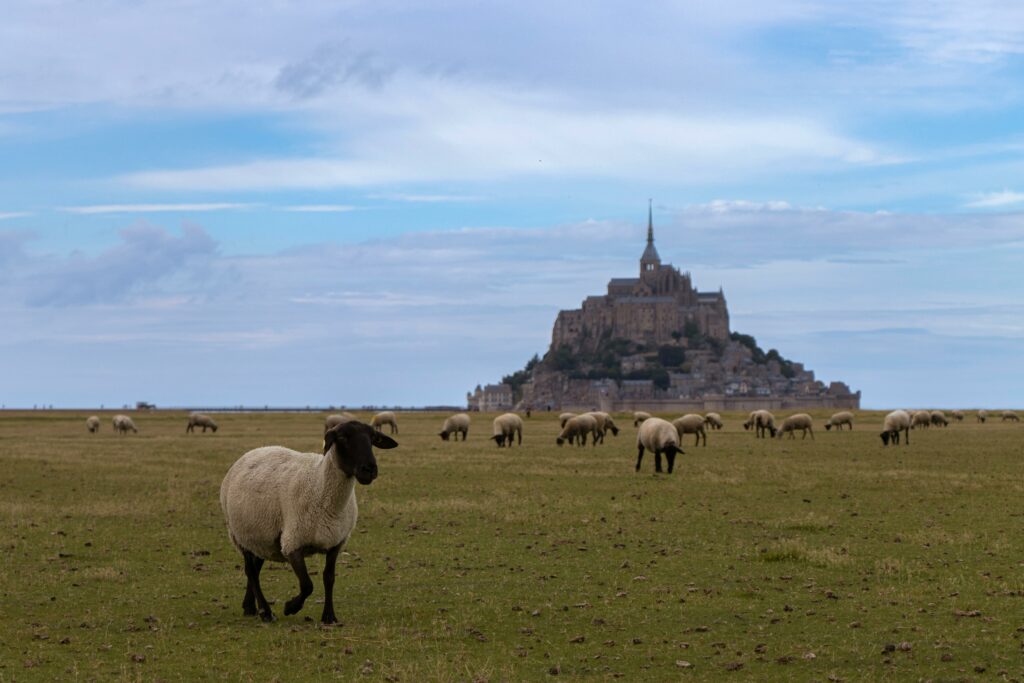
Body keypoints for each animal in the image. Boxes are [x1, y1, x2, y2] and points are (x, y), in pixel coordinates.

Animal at [218, 419, 397, 622]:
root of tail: (253, 451)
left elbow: (329, 578)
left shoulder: (336, 542)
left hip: (262, 536)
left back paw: (249, 607)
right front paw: (291, 607)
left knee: (255, 569)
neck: (321, 487)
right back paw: (265, 611)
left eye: (373, 438)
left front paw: (329, 617)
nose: (369, 469)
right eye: (343, 437)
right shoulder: (292, 542)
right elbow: (307, 584)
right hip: (239, 534)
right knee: (251, 571)